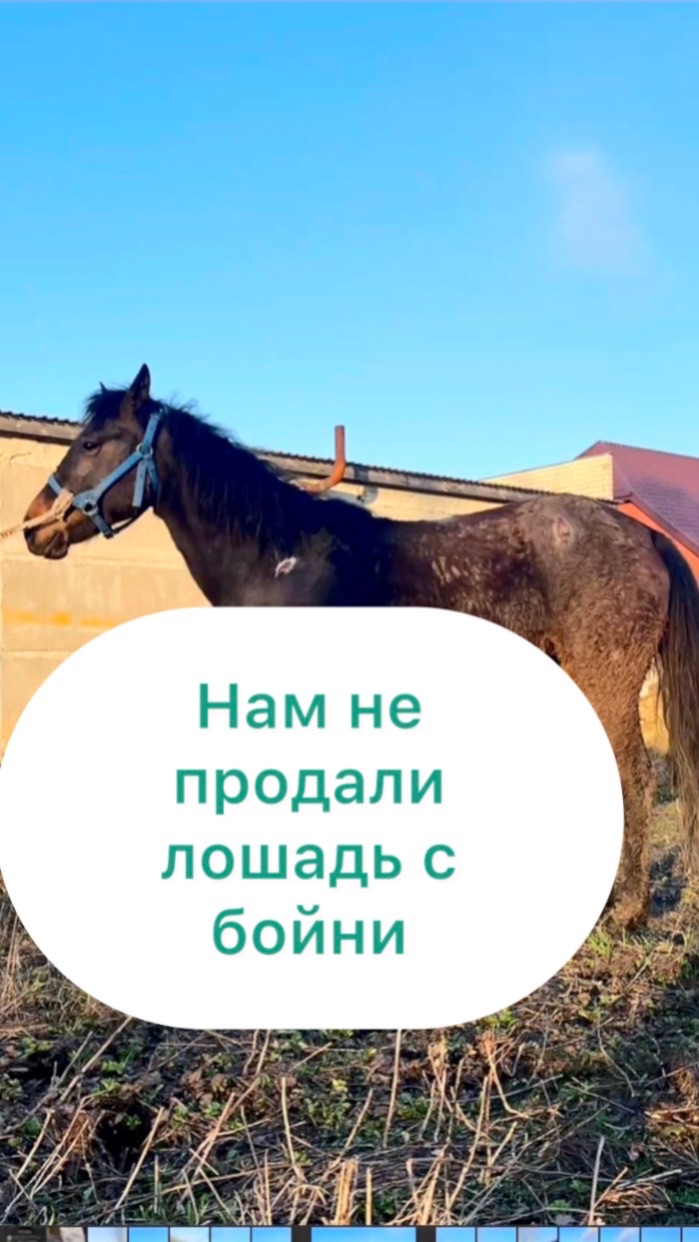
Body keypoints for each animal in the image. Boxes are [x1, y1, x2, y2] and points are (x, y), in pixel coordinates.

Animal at [23, 365, 699, 931]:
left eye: (93, 443)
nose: (32, 527)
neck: (278, 556)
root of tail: (644, 537)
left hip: (607, 680)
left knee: (636, 777)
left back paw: (629, 911)